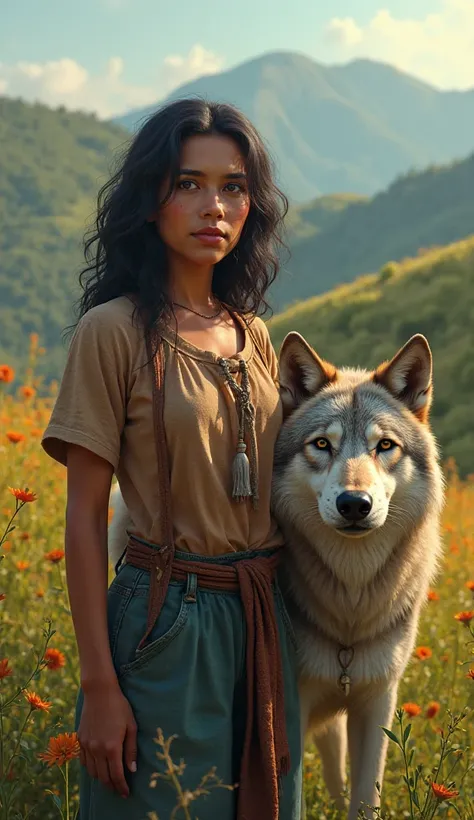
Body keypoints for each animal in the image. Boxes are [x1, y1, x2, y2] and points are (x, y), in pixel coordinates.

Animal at [274, 330, 444, 816]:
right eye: (322, 445)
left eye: (384, 446)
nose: (354, 504)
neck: (349, 605)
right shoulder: (289, 707)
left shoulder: (377, 703)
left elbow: (365, 798)